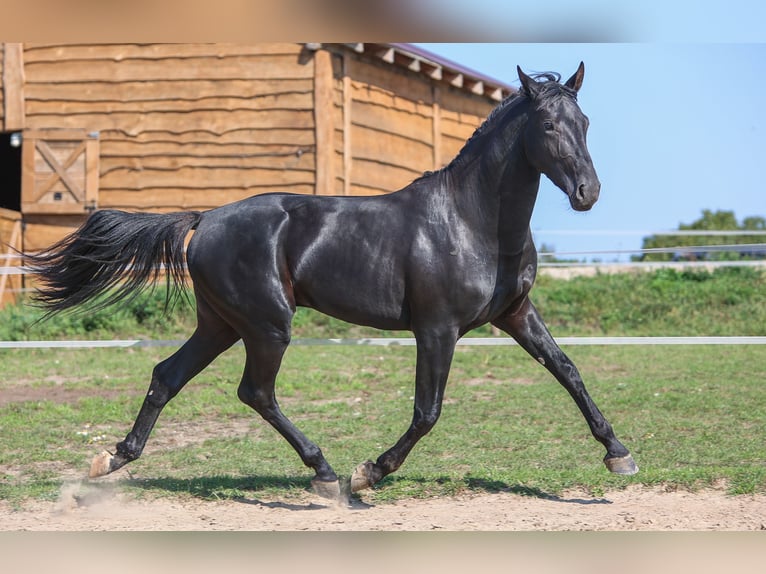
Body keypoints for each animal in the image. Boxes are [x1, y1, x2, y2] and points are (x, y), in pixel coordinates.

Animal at [24, 63, 640, 502]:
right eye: (547, 125)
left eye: (585, 124)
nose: (587, 193)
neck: (471, 221)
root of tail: (205, 218)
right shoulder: (436, 329)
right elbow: (428, 411)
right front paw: (370, 473)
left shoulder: (515, 314)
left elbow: (569, 371)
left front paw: (618, 453)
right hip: (267, 325)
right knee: (256, 392)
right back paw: (324, 473)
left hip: (221, 324)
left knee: (167, 376)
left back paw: (112, 458)